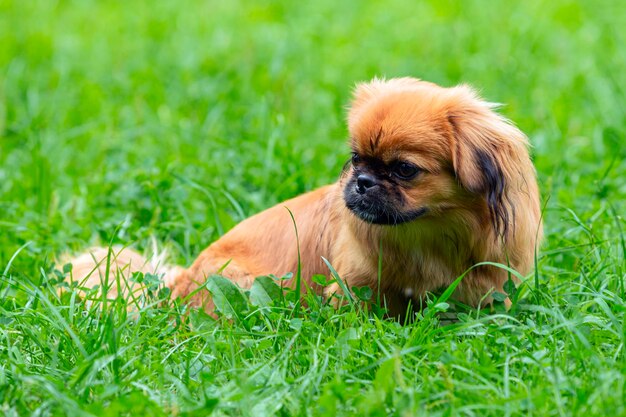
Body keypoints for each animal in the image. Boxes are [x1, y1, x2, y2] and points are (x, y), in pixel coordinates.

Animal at [64, 77, 540, 316]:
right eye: (356, 158)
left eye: (404, 170)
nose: (362, 182)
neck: (426, 236)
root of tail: (175, 286)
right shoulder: (353, 286)